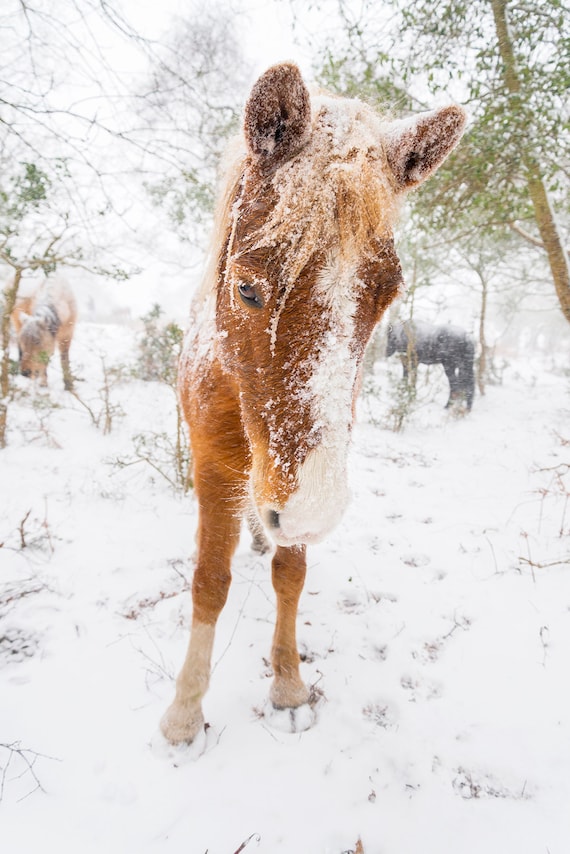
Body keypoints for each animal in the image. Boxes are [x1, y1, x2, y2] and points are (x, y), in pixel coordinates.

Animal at [161, 61, 466, 744]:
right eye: (247, 286)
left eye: (387, 294)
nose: (314, 510)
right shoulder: (217, 468)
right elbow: (209, 581)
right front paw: (186, 711)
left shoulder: (297, 482)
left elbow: (290, 575)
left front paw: (288, 682)